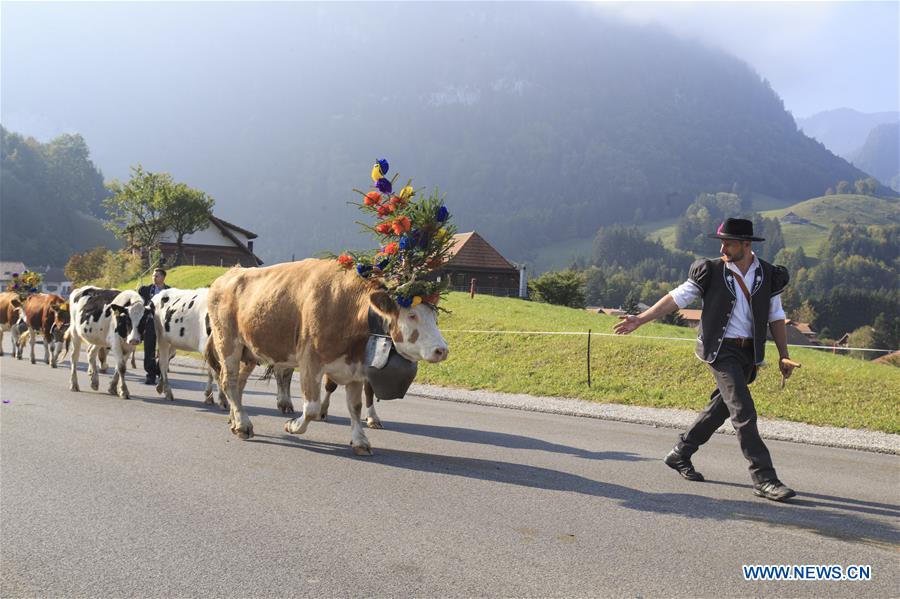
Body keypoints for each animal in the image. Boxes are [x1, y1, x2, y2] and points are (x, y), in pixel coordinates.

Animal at [210, 258, 450, 454]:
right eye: (412, 315)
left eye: (435, 316)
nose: (442, 349)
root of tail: (228, 274)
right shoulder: (310, 360)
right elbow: (312, 408)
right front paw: (293, 425)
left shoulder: (355, 368)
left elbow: (355, 407)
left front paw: (360, 441)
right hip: (228, 344)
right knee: (229, 381)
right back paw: (243, 425)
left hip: (249, 351)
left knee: (238, 384)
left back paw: (236, 420)